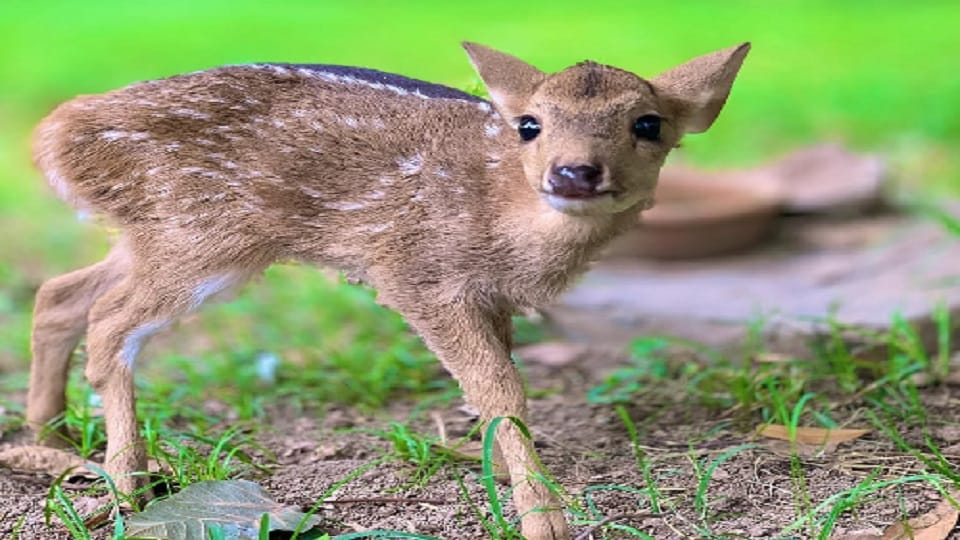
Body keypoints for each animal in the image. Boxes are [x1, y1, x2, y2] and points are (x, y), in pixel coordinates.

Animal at [26, 41, 749, 539]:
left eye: (649, 124)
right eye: (531, 124)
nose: (574, 173)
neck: (506, 221)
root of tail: (52, 138)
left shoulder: (493, 299)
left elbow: (495, 386)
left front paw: (495, 473)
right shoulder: (415, 274)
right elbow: (501, 388)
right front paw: (544, 521)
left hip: (161, 236)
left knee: (62, 293)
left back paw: (51, 436)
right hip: (202, 235)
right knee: (110, 321)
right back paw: (127, 486)